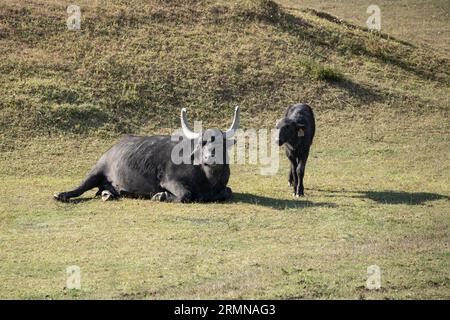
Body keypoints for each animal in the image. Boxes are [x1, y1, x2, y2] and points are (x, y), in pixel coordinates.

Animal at [53, 107, 239, 202]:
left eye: (222, 143)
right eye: (202, 143)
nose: (210, 158)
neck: (207, 176)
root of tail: (112, 148)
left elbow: (227, 191)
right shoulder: (170, 181)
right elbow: (185, 195)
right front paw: (160, 195)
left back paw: (108, 194)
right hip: (96, 170)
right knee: (80, 188)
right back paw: (61, 195)